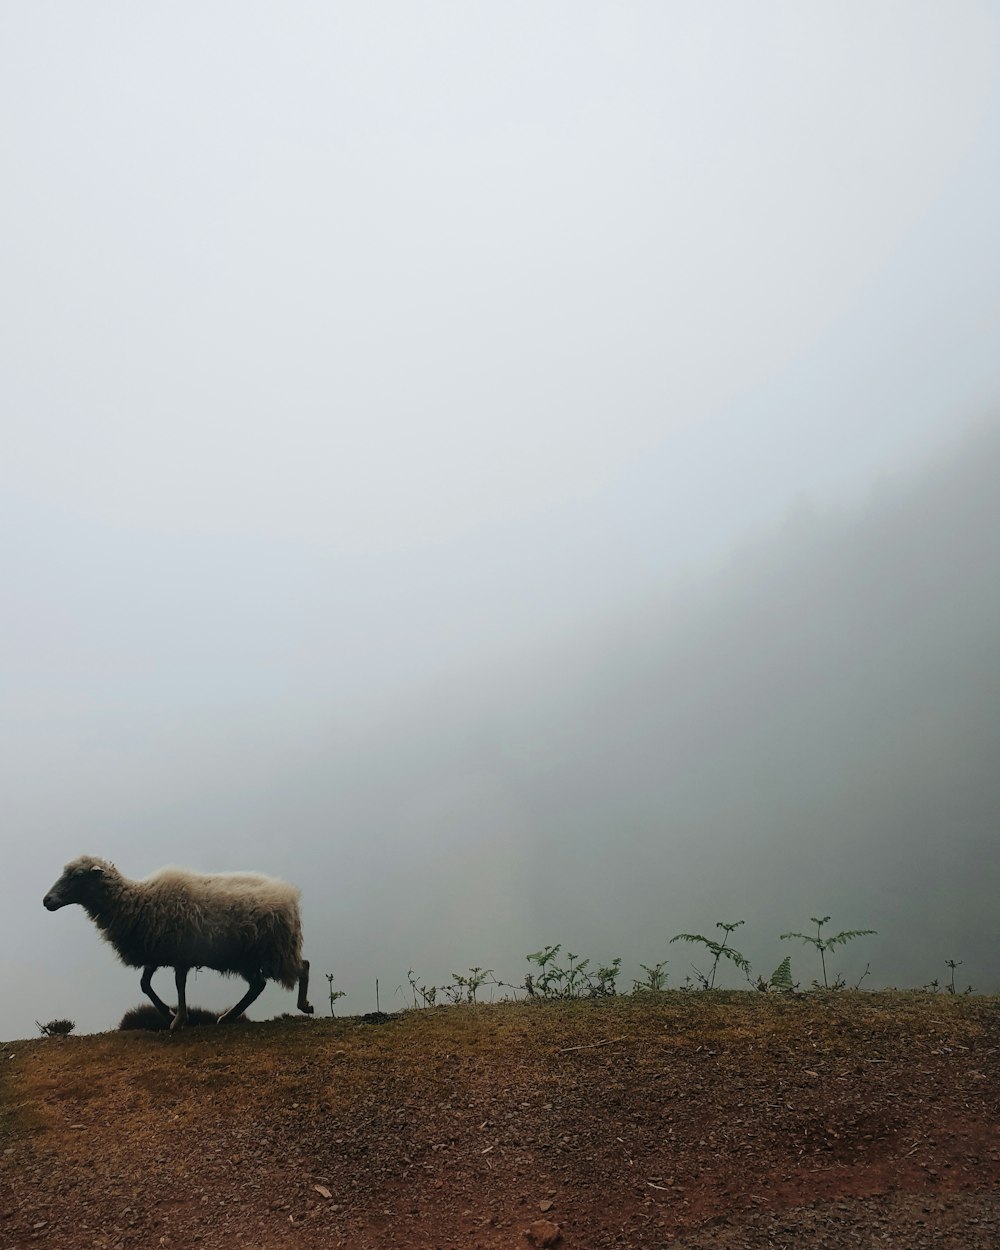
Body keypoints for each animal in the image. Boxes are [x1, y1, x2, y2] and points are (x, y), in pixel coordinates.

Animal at [43, 855, 312, 1030]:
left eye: (77, 876)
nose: (47, 901)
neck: (138, 901)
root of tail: (290, 896)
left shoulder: (181, 954)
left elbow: (179, 985)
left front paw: (178, 1019)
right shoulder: (156, 952)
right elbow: (145, 985)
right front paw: (168, 1012)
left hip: (275, 950)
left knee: (302, 967)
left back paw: (303, 1005)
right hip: (247, 957)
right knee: (258, 985)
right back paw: (228, 1017)